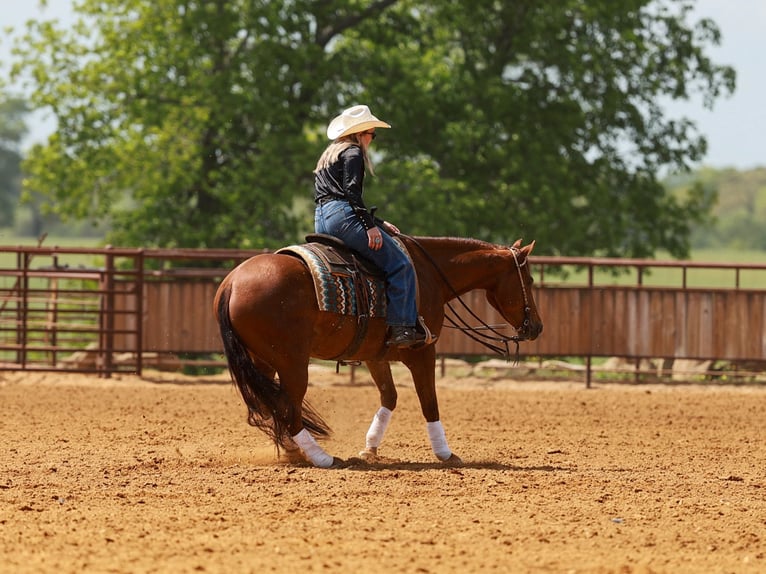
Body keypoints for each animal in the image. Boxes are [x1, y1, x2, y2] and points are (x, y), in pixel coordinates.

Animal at [213, 235, 543, 467]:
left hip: (263, 362)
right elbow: (429, 402)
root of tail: (231, 283)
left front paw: (370, 447)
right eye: (529, 279)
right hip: (292, 362)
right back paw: (320, 457)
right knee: (289, 407)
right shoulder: (423, 351)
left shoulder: (376, 356)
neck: (429, 276)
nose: (537, 327)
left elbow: (390, 397)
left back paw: (294, 452)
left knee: (271, 406)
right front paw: (446, 453)